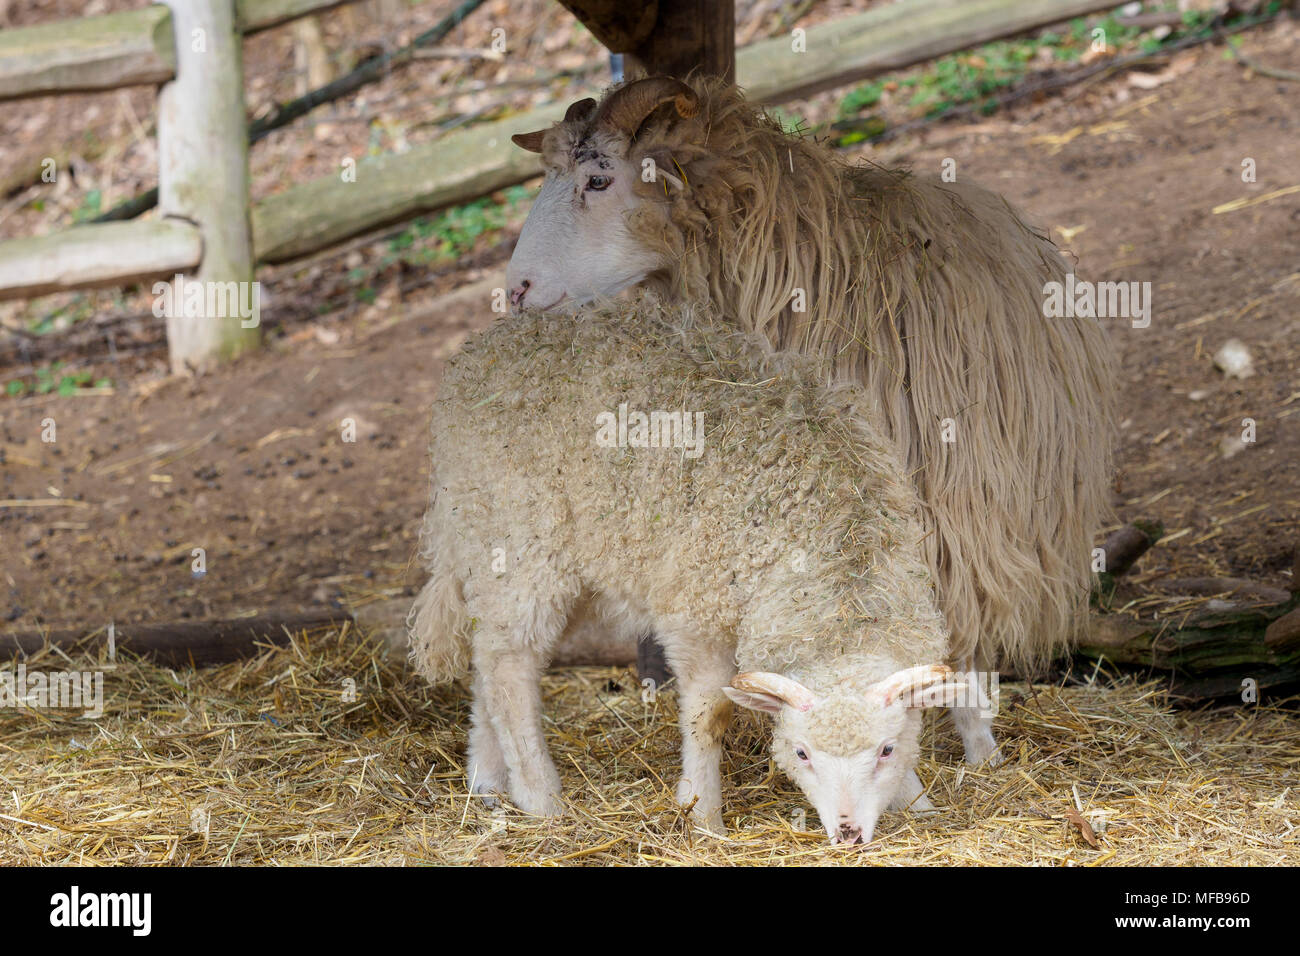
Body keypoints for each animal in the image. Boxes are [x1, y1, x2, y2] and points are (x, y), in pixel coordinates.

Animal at [410, 299, 972, 842]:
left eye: (886, 750)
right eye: (802, 753)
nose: (849, 832)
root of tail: (481, 352)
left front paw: (919, 803)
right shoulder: (695, 611)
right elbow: (710, 715)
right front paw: (701, 814)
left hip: (530, 554)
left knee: (487, 658)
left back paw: (486, 780)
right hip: (517, 541)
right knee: (510, 667)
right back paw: (540, 799)